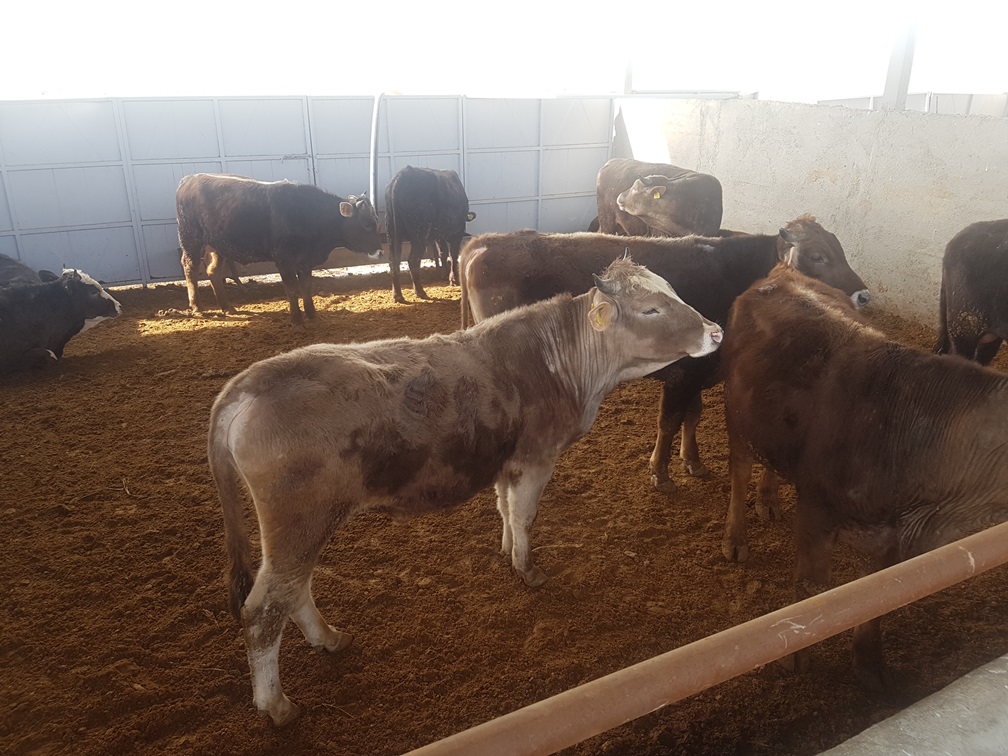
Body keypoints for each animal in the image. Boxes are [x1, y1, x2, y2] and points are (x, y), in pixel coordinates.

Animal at [176, 174, 383, 326]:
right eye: (366, 225)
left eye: (376, 221)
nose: (380, 251)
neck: (310, 214)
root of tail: (189, 179)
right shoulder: (284, 260)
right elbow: (292, 289)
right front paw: (297, 319)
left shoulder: (305, 261)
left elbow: (306, 287)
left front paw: (312, 314)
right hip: (191, 238)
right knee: (190, 268)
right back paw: (197, 307)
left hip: (217, 246)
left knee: (213, 271)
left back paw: (227, 307)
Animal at [209, 257, 723, 725]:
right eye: (651, 308)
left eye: (673, 291)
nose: (716, 331)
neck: (559, 364)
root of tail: (249, 382)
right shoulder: (536, 458)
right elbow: (524, 516)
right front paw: (527, 570)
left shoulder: (505, 464)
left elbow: (504, 509)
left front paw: (506, 551)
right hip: (298, 523)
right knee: (263, 610)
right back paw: (277, 705)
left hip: (304, 528)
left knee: (293, 591)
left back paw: (329, 638)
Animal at [384, 165, 475, 303]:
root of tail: (401, 176)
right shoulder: (456, 233)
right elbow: (453, 254)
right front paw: (453, 279)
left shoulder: (438, 235)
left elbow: (443, 252)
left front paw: (444, 274)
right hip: (420, 233)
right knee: (413, 260)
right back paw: (420, 291)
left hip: (393, 234)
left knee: (393, 261)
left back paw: (397, 295)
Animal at [458, 216, 870, 492]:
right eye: (818, 255)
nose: (864, 295)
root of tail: (486, 242)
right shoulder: (683, 374)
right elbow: (669, 421)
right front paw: (661, 472)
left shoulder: (700, 373)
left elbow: (693, 416)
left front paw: (693, 461)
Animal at [720, 263, 1008, 690]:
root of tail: (782, 272)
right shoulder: (815, 513)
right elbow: (812, 589)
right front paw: (796, 657)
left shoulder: (893, 539)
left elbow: (876, 596)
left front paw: (870, 664)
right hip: (736, 415)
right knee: (738, 471)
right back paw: (735, 537)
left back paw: (769, 500)